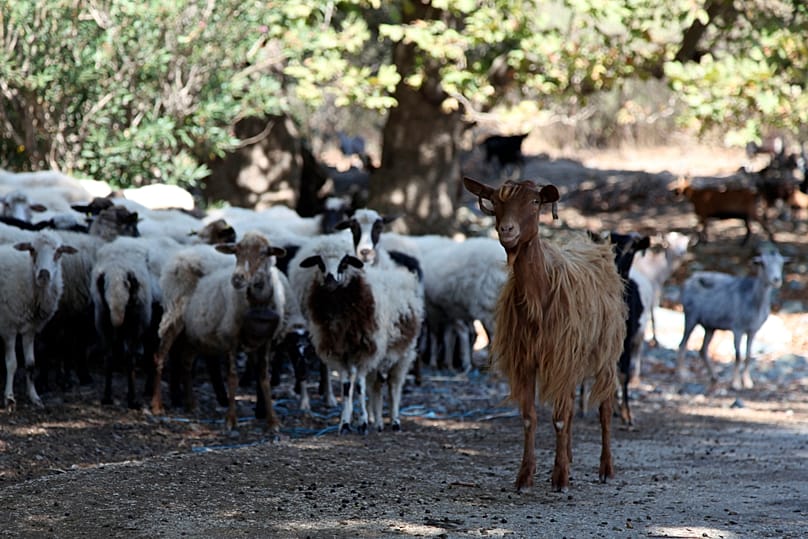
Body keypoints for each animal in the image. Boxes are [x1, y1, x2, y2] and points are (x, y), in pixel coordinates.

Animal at [463, 177, 625, 492]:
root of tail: (596, 247)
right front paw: (525, 476)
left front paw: (560, 478)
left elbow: (559, 418)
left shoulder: (561, 356)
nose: (507, 230)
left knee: (604, 407)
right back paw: (571, 457)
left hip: (605, 353)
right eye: (496, 202)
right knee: (573, 406)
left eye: (535, 202)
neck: (541, 291)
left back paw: (606, 468)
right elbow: (530, 417)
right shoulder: (526, 359)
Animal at [676, 246, 787, 390]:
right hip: (691, 317)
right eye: (762, 263)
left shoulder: (753, 331)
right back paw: (682, 375)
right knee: (682, 344)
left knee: (703, 350)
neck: (754, 301)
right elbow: (738, 356)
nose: (776, 279)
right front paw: (736, 384)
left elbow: (748, 356)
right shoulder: (737, 328)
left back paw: (714, 377)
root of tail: (687, 282)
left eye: (781, 263)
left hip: (710, 327)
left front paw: (748, 382)